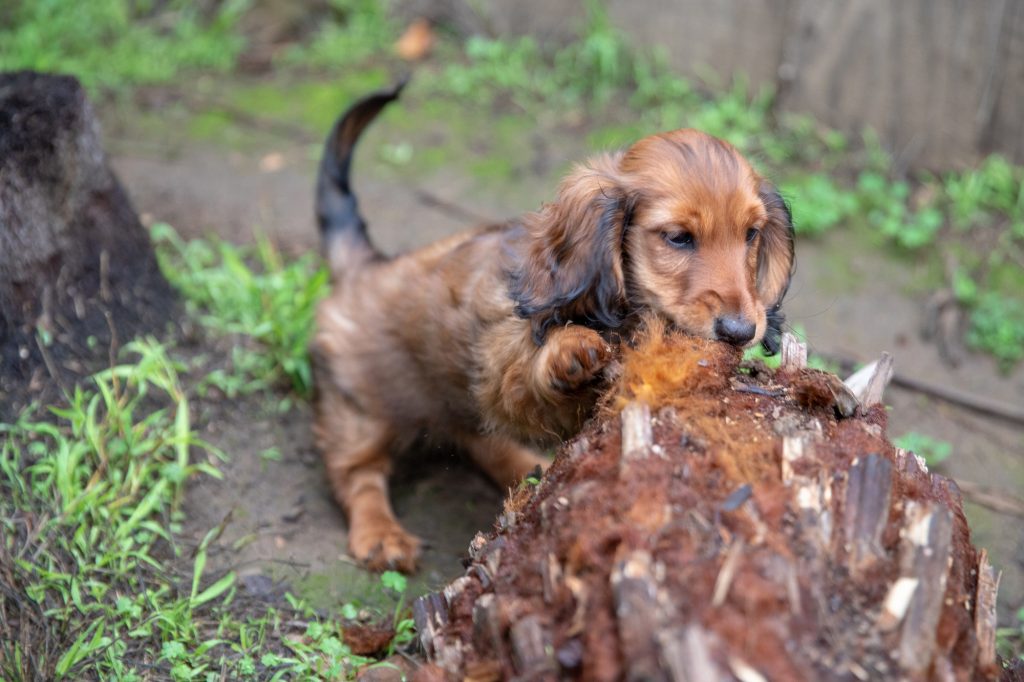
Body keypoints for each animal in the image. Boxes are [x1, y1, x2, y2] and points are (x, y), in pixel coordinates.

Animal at [307, 80, 794, 569]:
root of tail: (365, 266)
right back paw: (381, 533)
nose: (740, 331)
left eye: (751, 234)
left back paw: (527, 470)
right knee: (356, 474)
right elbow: (534, 372)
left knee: (479, 440)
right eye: (678, 238)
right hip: (360, 410)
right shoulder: (503, 366)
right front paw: (569, 349)